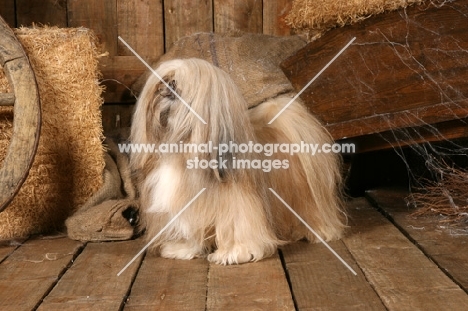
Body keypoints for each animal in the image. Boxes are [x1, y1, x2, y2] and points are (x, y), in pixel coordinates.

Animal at [130, 58, 346, 266]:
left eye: (186, 83)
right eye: (165, 78)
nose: (169, 84)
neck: (181, 151)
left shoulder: (238, 202)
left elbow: (237, 226)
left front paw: (233, 253)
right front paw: (182, 248)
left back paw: (319, 231)